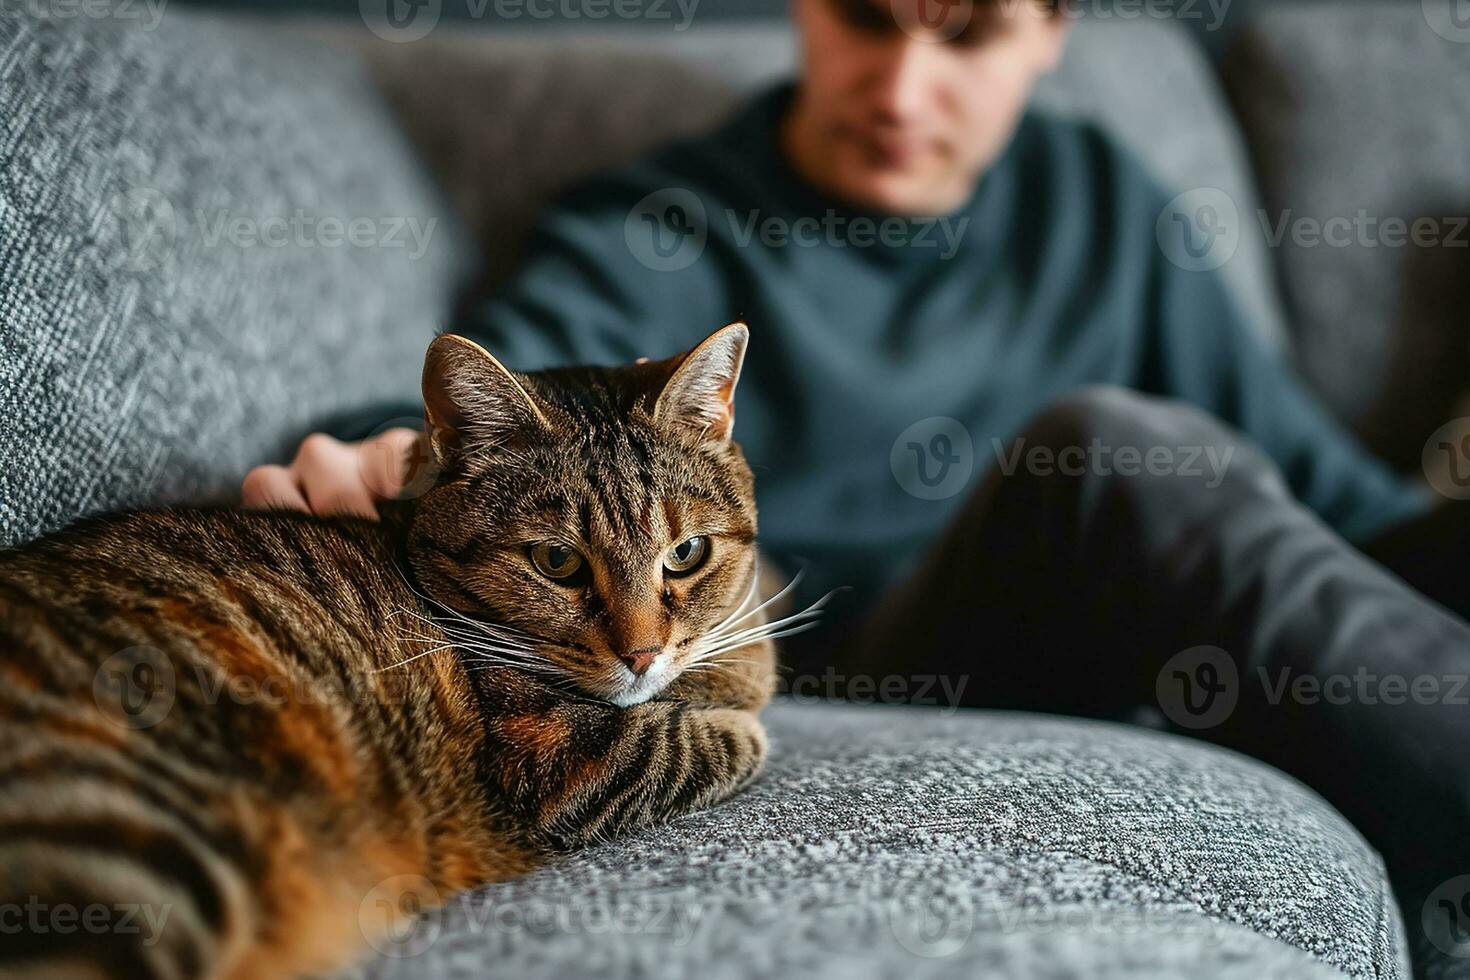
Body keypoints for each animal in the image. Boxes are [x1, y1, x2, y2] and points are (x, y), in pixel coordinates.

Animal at [0, 323, 817, 980]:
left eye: (686, 553)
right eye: (557, 562)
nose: (643, 654)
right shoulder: (563, 757)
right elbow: (718, 741)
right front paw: (739, 716)